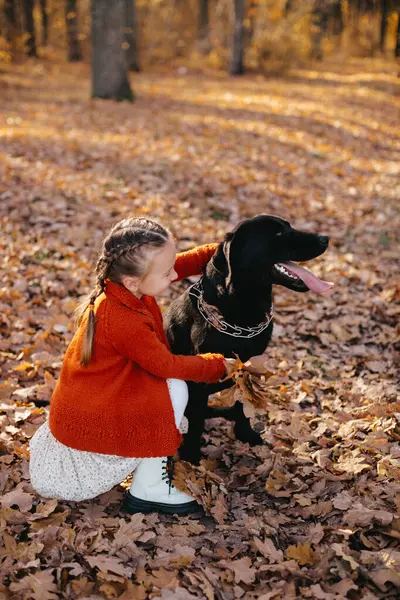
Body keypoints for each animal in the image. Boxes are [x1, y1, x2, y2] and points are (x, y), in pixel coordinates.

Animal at [164, 216, 332, 464]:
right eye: (278, 233)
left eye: (289, 226)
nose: (325, 238)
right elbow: (196, 422)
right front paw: (191, 457)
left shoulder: (248, 367)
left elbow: (243, 405)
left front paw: (245, 433)